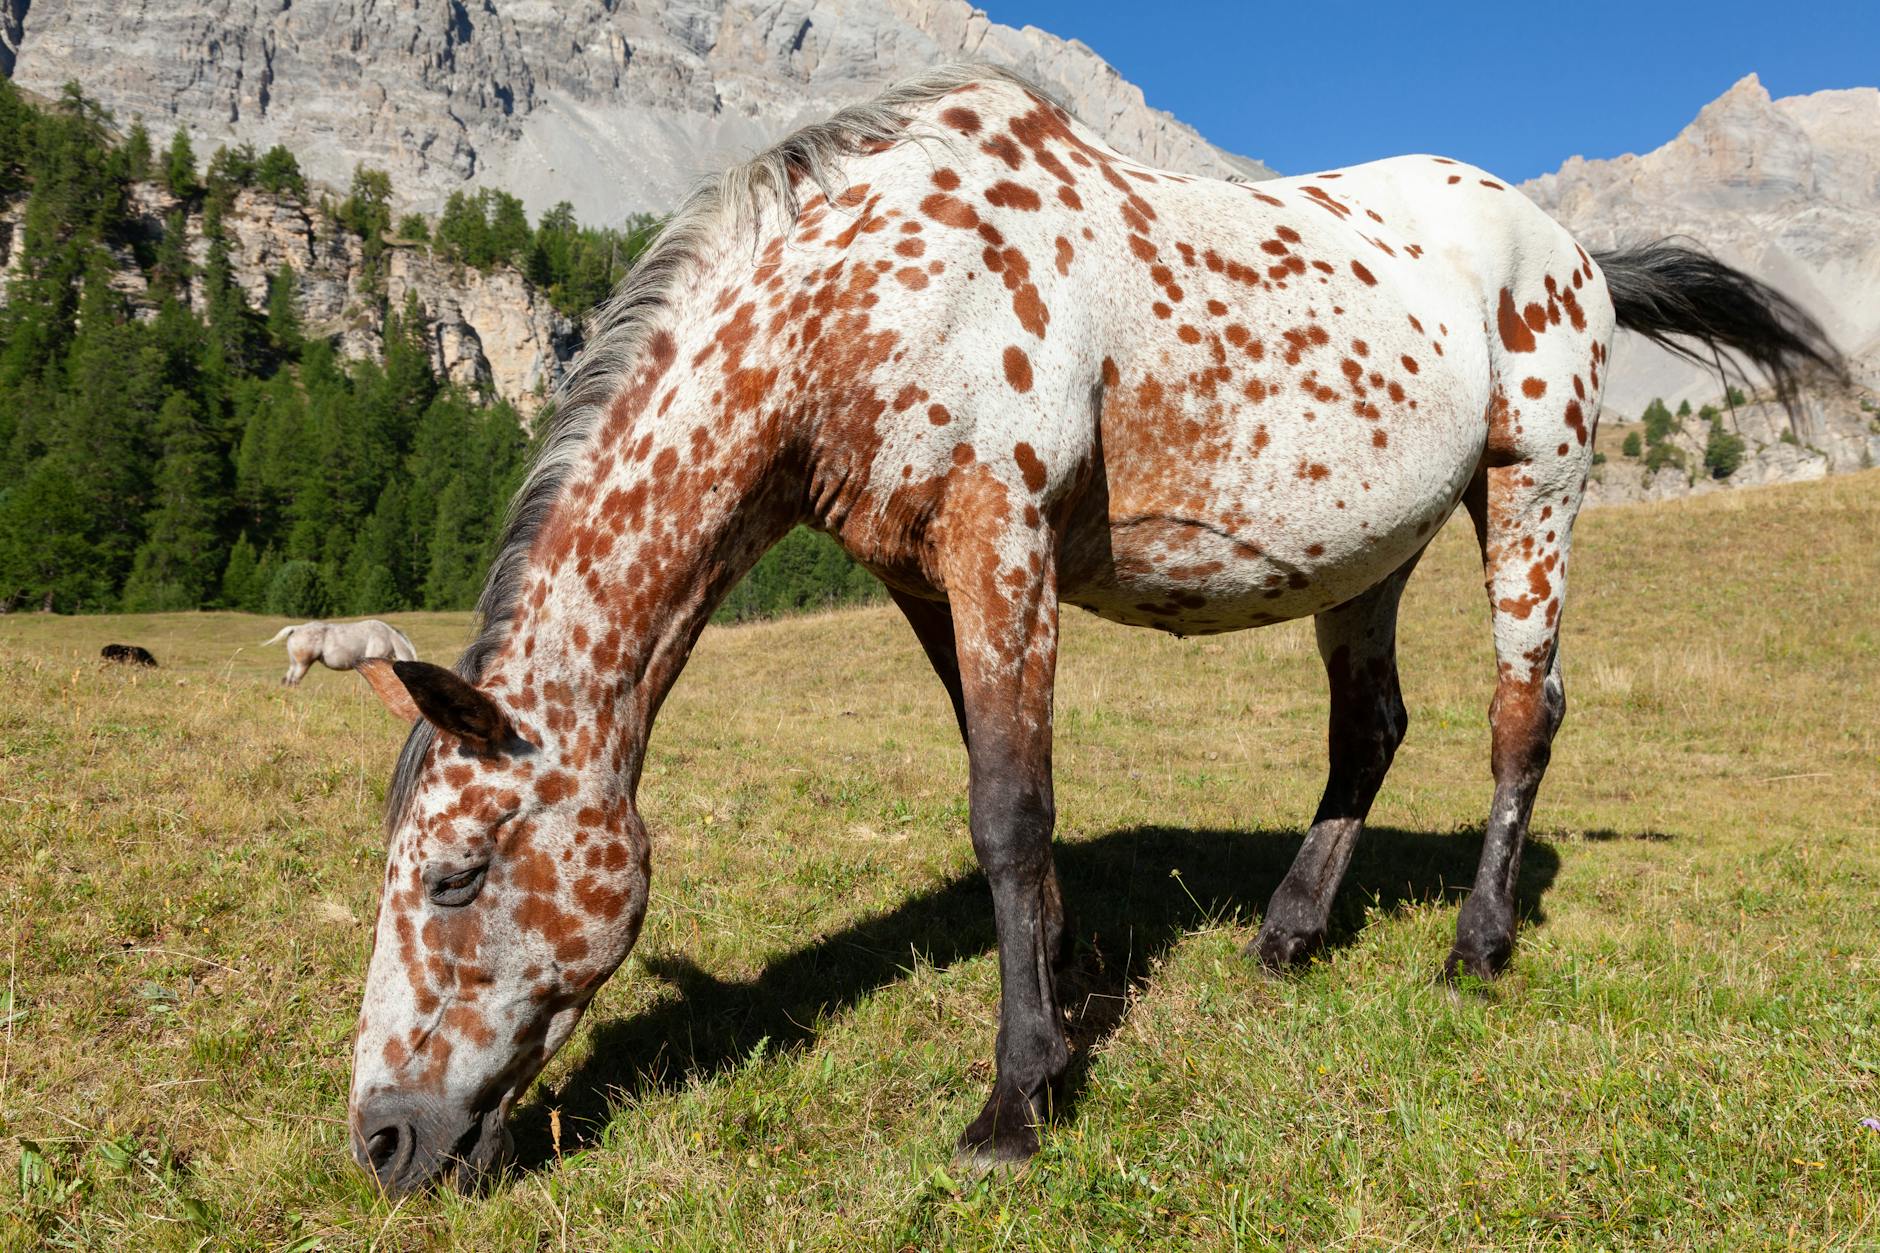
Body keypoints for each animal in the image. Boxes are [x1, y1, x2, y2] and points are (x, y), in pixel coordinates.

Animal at [264, 619, 417, 686]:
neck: (388, 637)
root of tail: (296, 628)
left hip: (294, 663)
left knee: (287, 679)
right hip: (303, 664)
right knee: (294, 680)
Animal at [342, 66, 1838, 1194]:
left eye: (457, 874)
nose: (385, 1141)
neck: (870, 287)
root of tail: (1571, 248)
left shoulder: (998, 533)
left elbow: (1008, 806)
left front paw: (1016, 1098)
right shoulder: (925, 575)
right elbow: (1005, 784)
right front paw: (1062, 996)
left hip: (1532, 489)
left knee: (1521, 715)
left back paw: (1473, 948)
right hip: (1375, 546)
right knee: (1370, 727)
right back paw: (1289, 933)